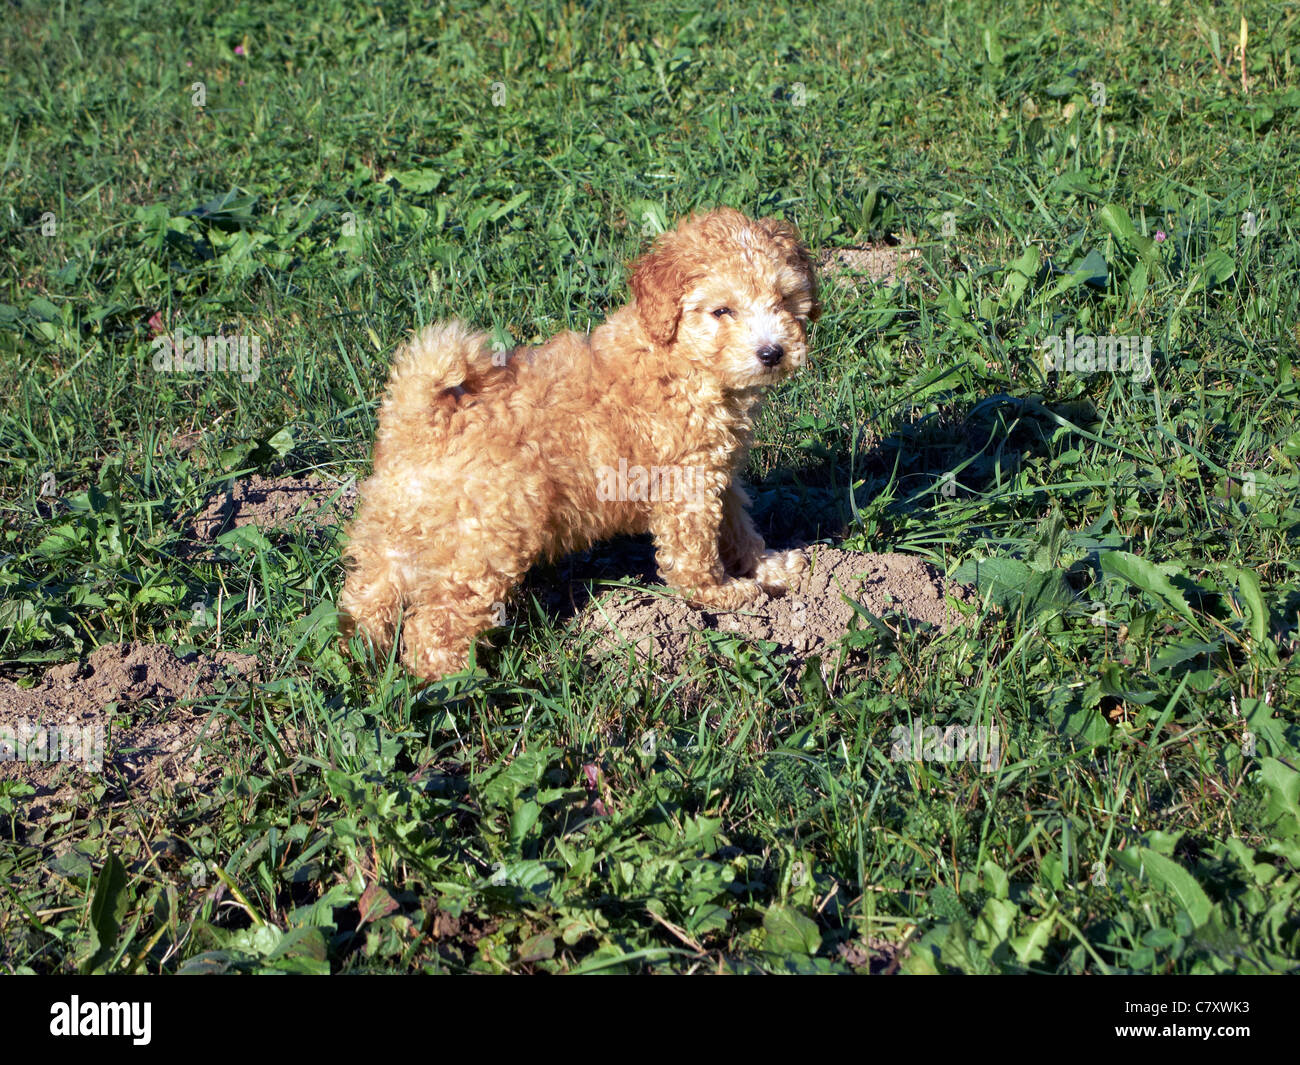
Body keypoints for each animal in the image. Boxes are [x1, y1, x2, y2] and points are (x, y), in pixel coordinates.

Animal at [340, 208, 816, 681]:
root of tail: (421, 416)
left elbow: (739, 528)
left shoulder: (719, 473)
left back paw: (360, 649)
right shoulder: (687, 487)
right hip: (484, 543)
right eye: (721, 310)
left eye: (784, 300)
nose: (772, 352)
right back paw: (460, 683)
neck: (679, 358)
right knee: (437, 623)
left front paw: (771, 568)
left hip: (401, 527)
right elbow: (695, 550)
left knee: (371, 587)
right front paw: (722, 593)